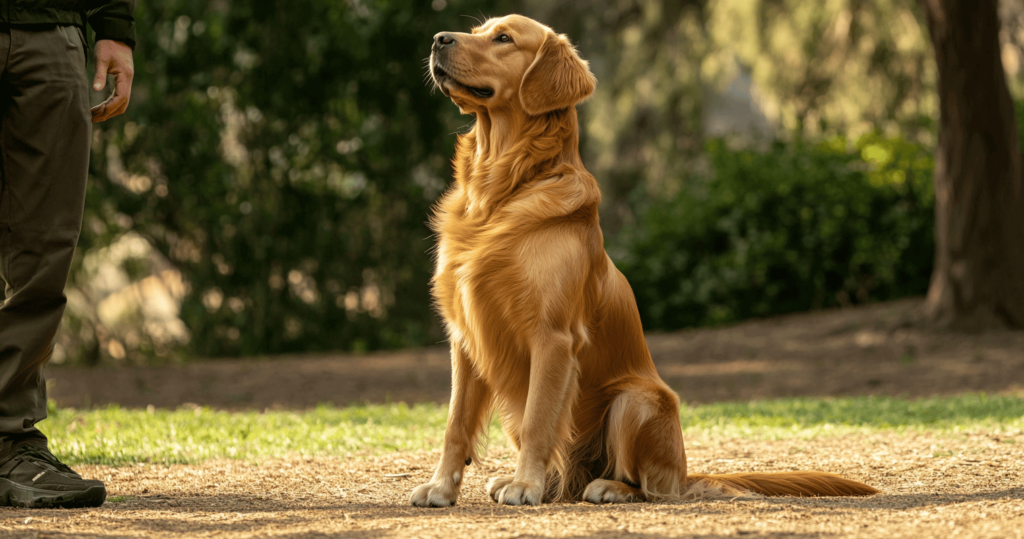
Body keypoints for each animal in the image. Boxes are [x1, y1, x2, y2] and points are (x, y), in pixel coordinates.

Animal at [411, 14, 876, 510]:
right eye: (479, 29)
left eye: (504, 38)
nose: (438, 39)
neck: (502, 188)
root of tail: (685, 472)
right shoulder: (464, 337)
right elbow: (455, 424)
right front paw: (441, 488)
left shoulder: (553, 335)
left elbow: (539, 421)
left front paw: (525, 485)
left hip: (637, 401)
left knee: (652, 485)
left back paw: (607, 486)